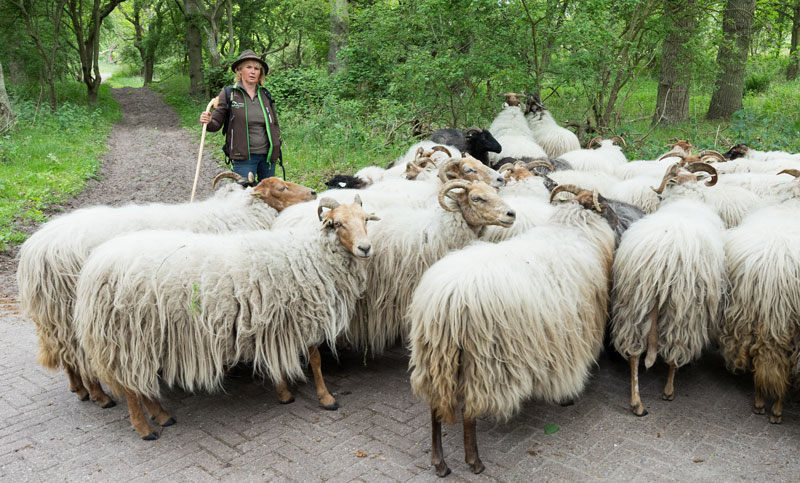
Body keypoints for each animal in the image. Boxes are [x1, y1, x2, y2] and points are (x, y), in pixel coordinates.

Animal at [16, 174, 316, 408]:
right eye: (281, 188)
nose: (313, 192)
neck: (235, 212)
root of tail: (34, 250)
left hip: (56, 315)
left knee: (67, 356)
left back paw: (81, 390)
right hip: (72, 311)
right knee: (79, 356)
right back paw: (100, 396)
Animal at [72, 196, 378, 438]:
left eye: (366, 220)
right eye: (337, 223)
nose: (365, 248)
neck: (310, 256)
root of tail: (94, 268)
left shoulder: (275, 321)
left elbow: (280, 359)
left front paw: (284, 393)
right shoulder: (301, 315)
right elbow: (314, 360)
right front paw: (326, 398)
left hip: (141, 338)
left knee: (140, 382)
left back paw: (162, 416)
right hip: (129, 335)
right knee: (131, 385)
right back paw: (145, 428)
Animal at [410, 184, 616, 476]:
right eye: (607, 205)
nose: (619, 222)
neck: (573, 228)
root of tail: (445, 301)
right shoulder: (575, 332)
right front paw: (566, 398)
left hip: (434, 359)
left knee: (435, 408)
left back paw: (439, 463)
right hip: (483, 364)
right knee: (469, 412)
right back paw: (474, 462)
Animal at [608, 197, 728, 416]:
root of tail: (660, 262)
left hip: (633, 302)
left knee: (634, 352)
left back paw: (637, 403)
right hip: (682, 310)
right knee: (674, 352)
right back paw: (668, 391)